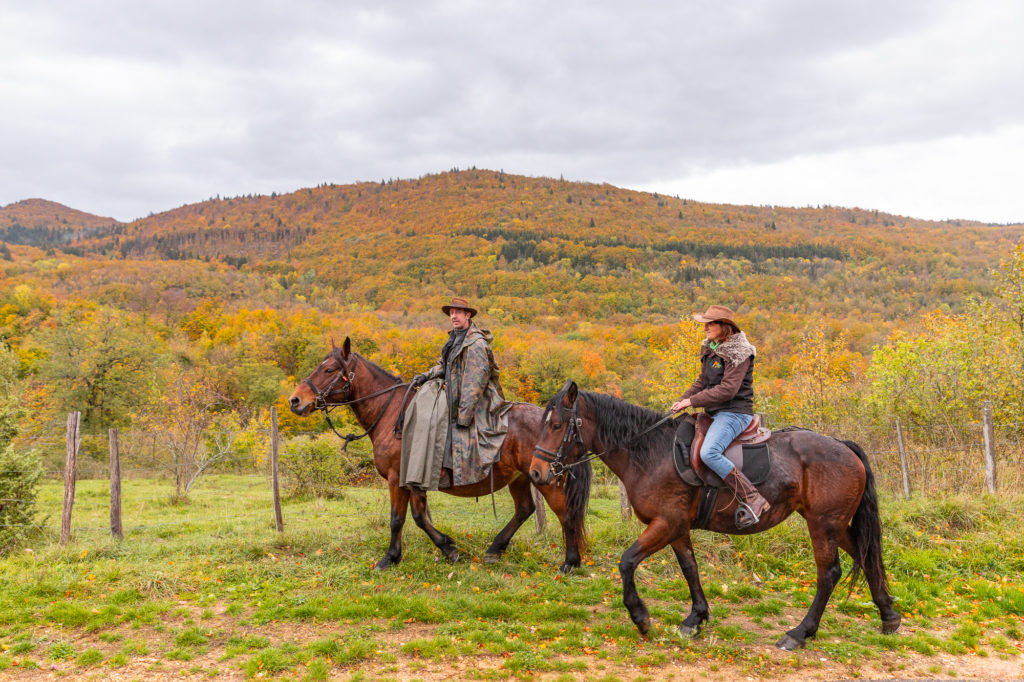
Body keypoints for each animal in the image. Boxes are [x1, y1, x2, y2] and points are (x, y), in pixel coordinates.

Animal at [288, 337, 593, 569]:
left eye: (329, 370)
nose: (295, 400)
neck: (393, 415)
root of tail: (565, 424)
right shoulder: (414, 482)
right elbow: (420, 517)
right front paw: (447, 548)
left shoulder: (398, 479)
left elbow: (399, 519)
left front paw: (390, 558)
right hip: (520, 478)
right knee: (525, 509)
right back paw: (496, 548)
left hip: (547, 481)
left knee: (566, 514)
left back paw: (571, 562)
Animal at [528, 378, 897, 651]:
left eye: (557, 425)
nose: (535, 473)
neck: (650, 453)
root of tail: (843, 446)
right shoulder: (677, 528)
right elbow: (690, 569)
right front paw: (696, 619)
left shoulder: (666, 523)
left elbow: (627, 562)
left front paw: (641, 617)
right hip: (835, 524)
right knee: (865, 556)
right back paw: (889, 615)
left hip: (823, 524)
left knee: (828, 573)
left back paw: (799, 633)